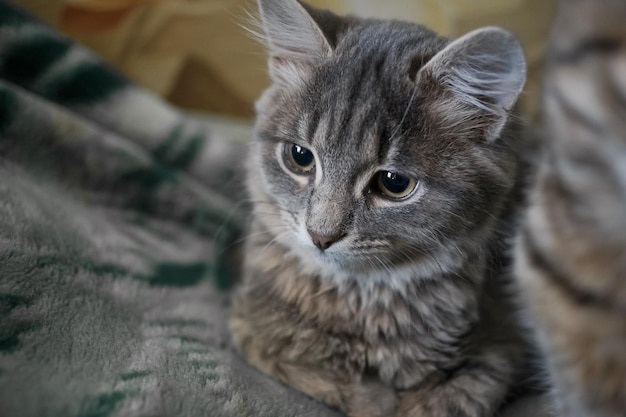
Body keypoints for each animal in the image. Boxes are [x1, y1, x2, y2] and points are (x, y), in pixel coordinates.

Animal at [229, 1, 532, 414]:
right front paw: (370, 395)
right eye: (300, 157)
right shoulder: (249, 323)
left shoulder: (501, 349)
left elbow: (449, 398)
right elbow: (316, 370)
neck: (359, 300)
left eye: (394, 183)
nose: (320, 235)